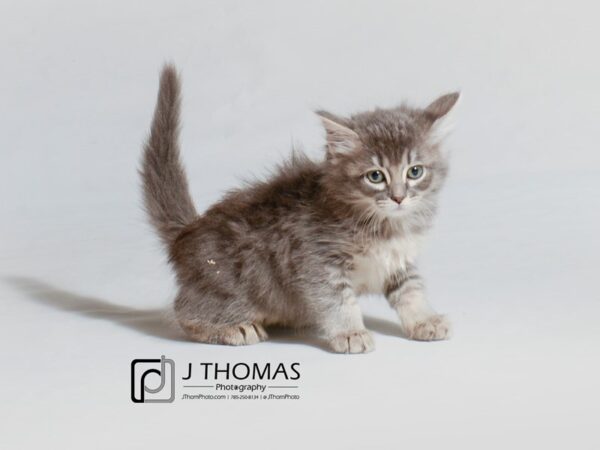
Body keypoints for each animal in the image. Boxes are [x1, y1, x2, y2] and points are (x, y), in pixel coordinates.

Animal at [141, 65, 460, 354]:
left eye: (415, 171)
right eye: (375, 176)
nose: (398, 198)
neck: (385, 226)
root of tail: (187, 233)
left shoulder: (399, 260)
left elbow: (411, 291)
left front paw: (425, 320)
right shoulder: (316, 260)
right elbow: (338, 300)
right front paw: (350, 332)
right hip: (230, 284)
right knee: (184, 311)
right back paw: (233, 328)